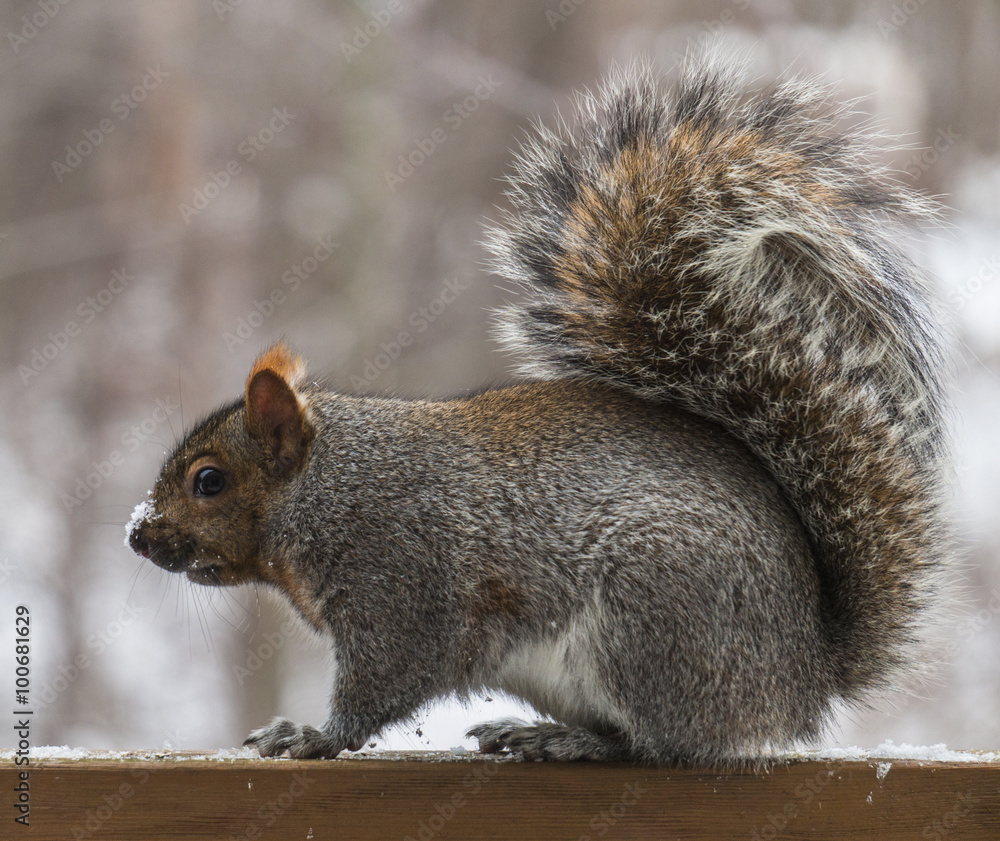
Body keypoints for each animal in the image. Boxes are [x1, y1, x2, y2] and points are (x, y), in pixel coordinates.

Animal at [127, 59, 950, 765]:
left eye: (208, 481)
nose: (138, 534)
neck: (331, 482)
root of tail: (803, 676)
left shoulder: (401, 580)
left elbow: (387, 679)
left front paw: (312, 735)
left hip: (652, 615)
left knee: (659, 745)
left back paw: (573, 741)